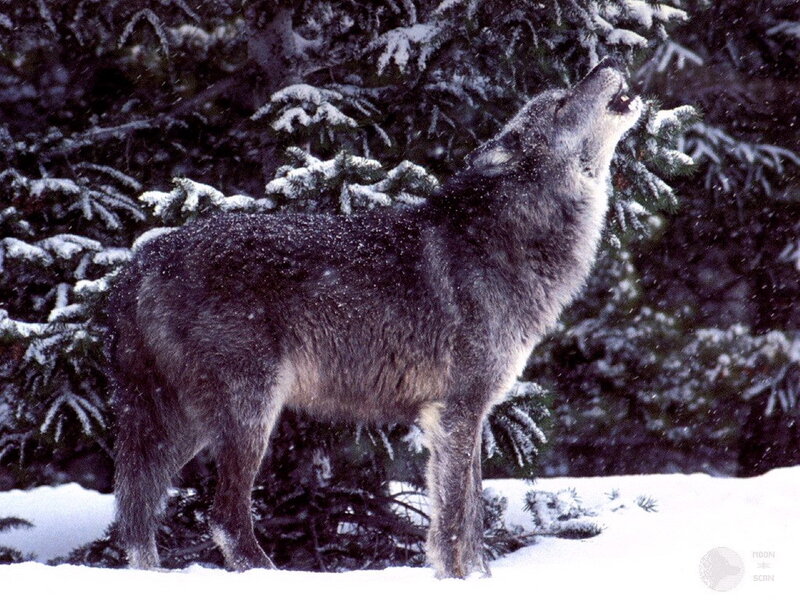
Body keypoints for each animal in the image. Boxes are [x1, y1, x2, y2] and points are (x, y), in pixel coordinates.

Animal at [107, 57, 642, 579]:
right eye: (562, 102)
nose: (610, 58)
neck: (513, 235)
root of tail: (144, 257)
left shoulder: (462, 414)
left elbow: (471, 523)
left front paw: (478, 581)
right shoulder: (458, 410)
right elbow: (455, 522)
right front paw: (455, 580)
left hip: (184, 423)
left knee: (136, 513)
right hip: (248, 412)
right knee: (223, 519)